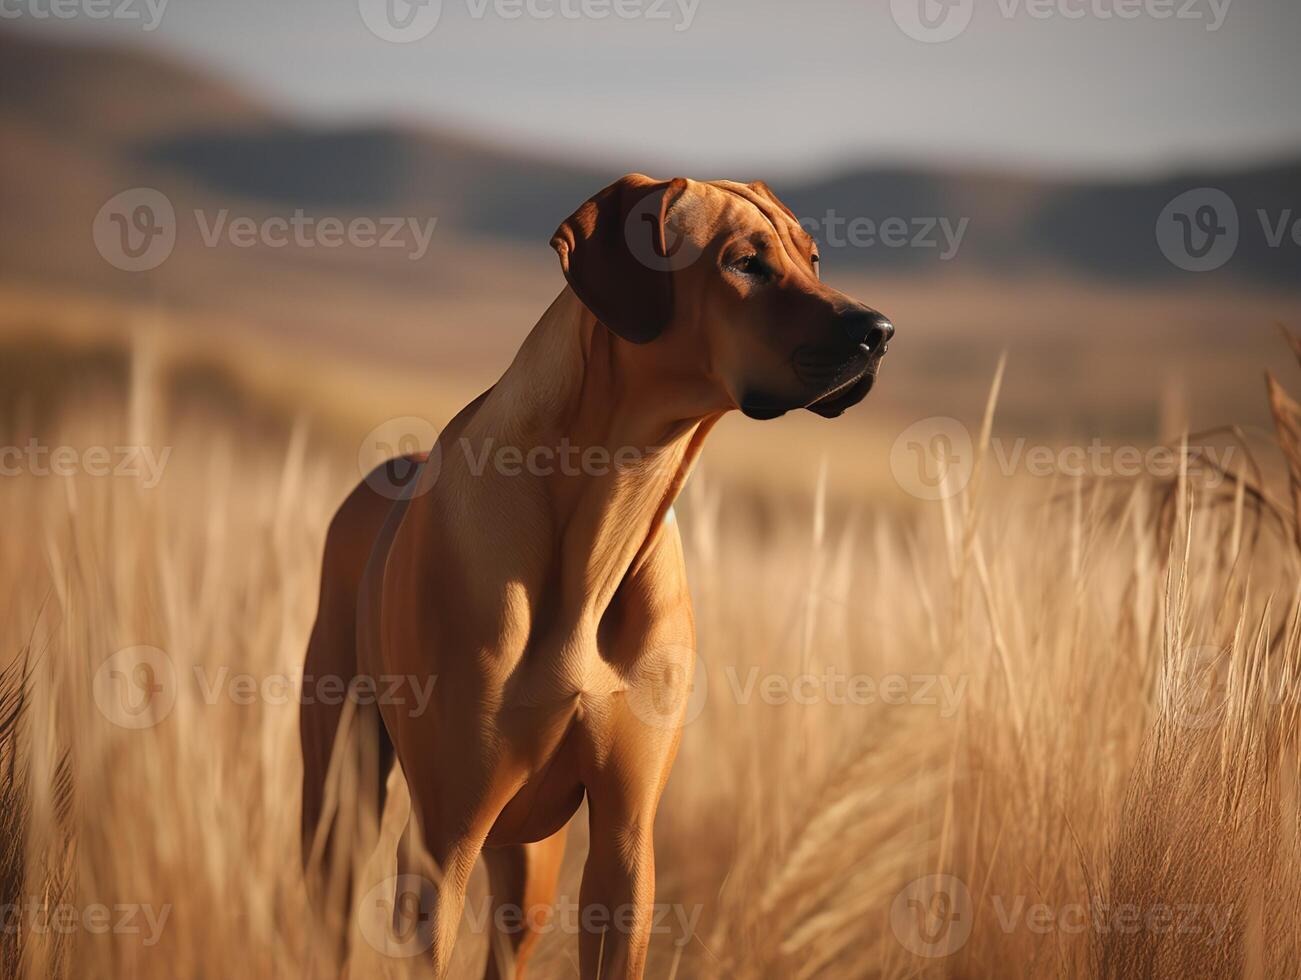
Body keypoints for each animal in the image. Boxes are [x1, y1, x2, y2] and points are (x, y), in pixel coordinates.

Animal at [301, 175, 895, 978]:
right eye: (745, 263)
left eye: (813, 258)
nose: (879, 331)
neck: (608, 515)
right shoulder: (441, 848)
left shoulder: (624, 837)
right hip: (341, 800)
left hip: (530, 860)